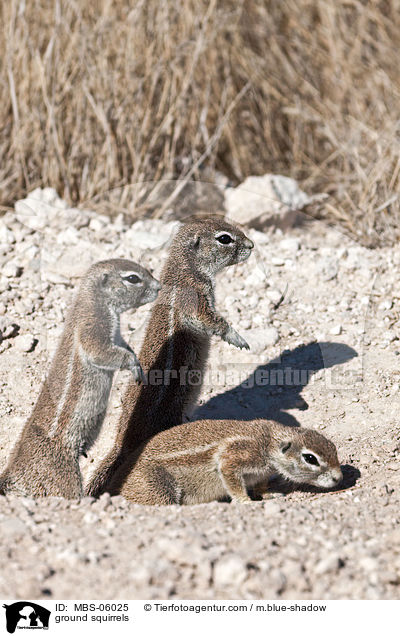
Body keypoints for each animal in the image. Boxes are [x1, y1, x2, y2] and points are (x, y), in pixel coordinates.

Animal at [1, 258, 161, 496]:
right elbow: (101, 352)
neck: (92, 299)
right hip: (64, 473)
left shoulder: (117, 336)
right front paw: (133, 364)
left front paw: (135, 358)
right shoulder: (93, 326)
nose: (159, 287)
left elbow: (123, 346)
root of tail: (14, 470)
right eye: (133, 278)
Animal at [87, 219, 255, 496]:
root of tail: (121, 443)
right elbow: (212, 320)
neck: (183, 270)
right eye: (224, 238)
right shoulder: (194, 298)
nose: (252, 245)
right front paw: (237, 337)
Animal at [107, 420, 344, 504]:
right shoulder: (236, 456)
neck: (268, 441)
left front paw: (269, 494)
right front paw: (245, 501)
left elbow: (260, 485)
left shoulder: (261, 474)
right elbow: (232, 479)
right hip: (157, 488)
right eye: (310, 458)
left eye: (334, 448)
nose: (339, 478)